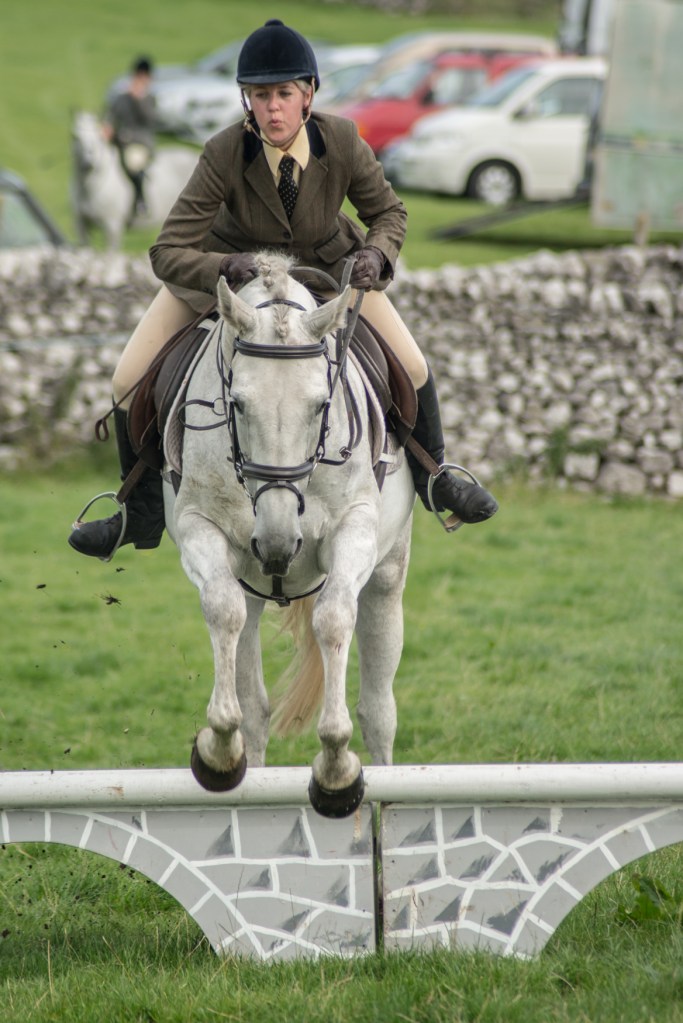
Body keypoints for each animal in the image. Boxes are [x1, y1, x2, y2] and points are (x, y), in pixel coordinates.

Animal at [70, 111, 199, 250]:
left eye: (99, 137)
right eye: (75, 137)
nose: (88, 163)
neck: (89, 188)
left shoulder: (112, 227)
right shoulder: (81, 227)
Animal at [163, 253, 415, 818]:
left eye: (322, 405)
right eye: (236, 404)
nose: (277, 544)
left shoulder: (355, 530)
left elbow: (334, 617)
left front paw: (337, 770)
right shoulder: (199, 529)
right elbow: (223, 610)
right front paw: (218, 750)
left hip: (387, 575)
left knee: (380, 708)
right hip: (254, 582)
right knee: (253, 689)